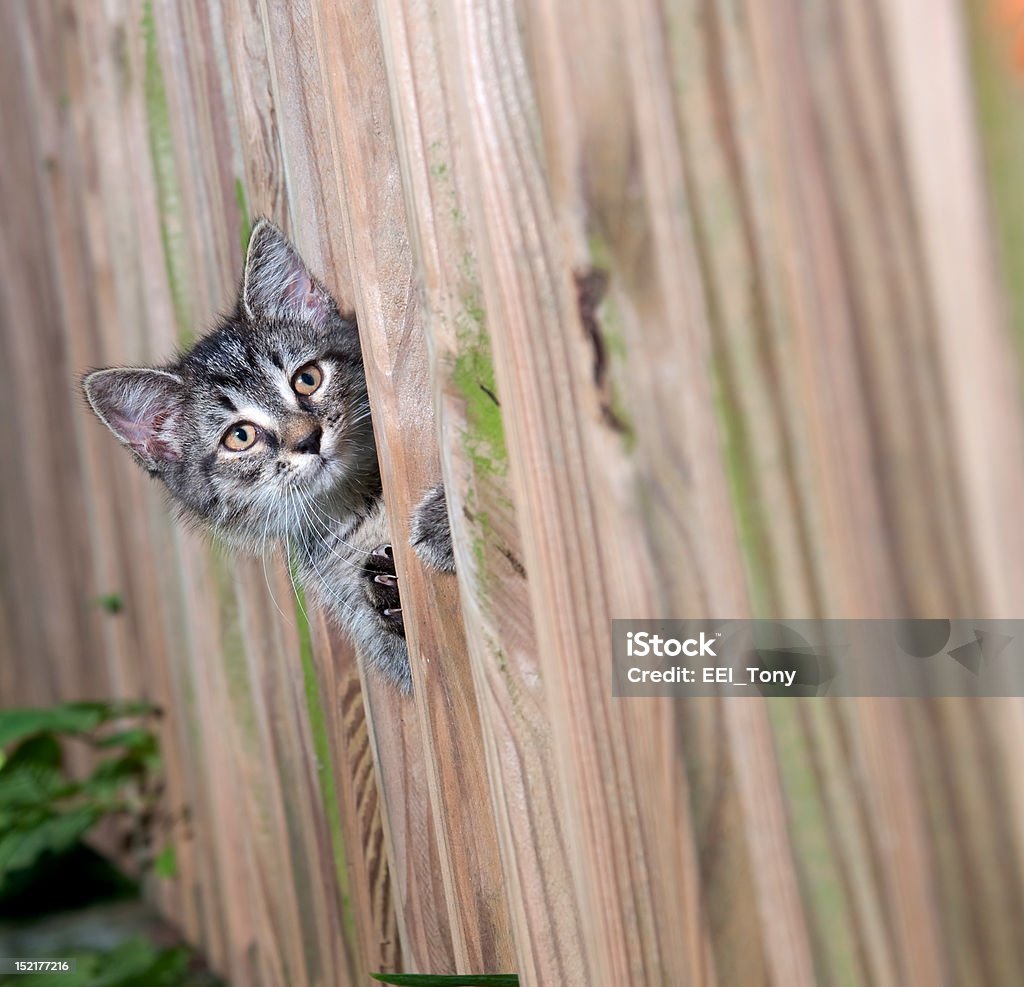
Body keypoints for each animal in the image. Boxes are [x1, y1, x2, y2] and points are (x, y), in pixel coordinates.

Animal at [81, 219, 458, 692]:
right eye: (240, 437)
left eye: (307, 379)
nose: (308, 438)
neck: (361, 507)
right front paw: (385, 590)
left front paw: (444, 520)